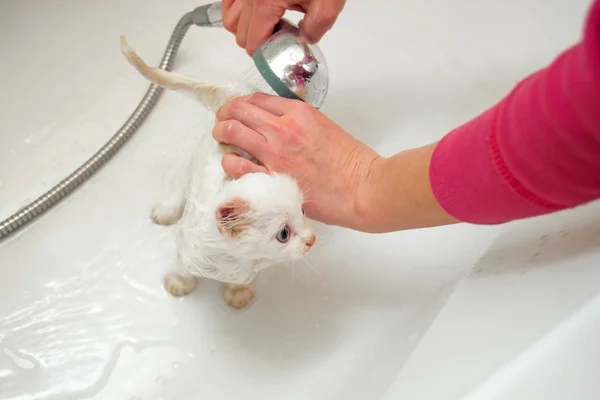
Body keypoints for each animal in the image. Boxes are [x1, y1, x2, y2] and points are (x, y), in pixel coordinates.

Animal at [122, 36, 318, 310]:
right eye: (283, 234)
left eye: (303, 212)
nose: (312, 239)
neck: (233, 262)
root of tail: (240, 94)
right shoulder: (186, 247)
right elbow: (182, 267)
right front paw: (180, 284)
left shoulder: (244, 271)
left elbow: (239, 282)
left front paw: (238, 294)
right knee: (180, 185)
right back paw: (167, 210)